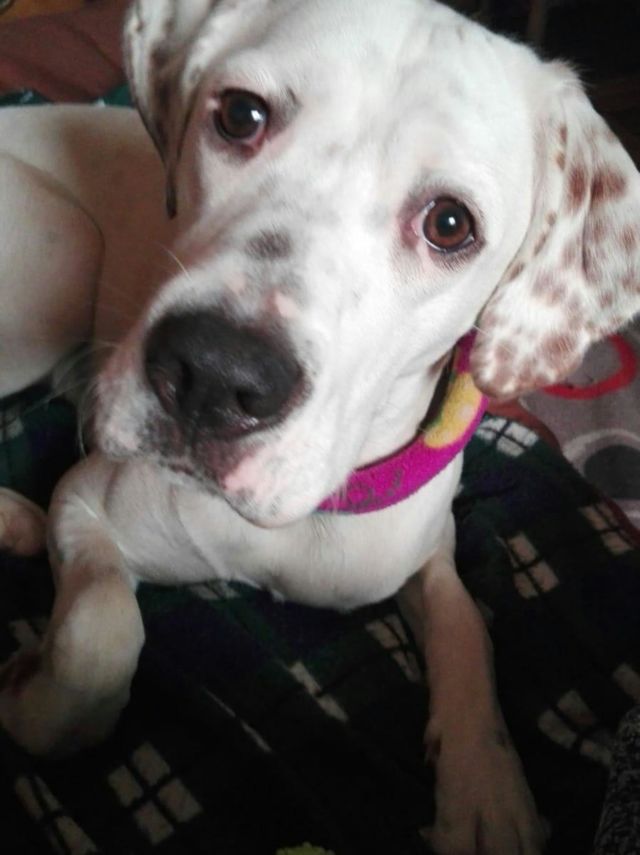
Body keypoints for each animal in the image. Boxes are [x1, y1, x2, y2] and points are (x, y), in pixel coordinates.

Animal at [0, 0, 639, 852]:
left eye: (449, 224)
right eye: (241, 115)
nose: (216, 373)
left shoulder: (423, 549)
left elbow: (464, 622)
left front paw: (485, 786)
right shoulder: (86, 505)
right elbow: (99, 635)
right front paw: (33, 697)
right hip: (60, 253)